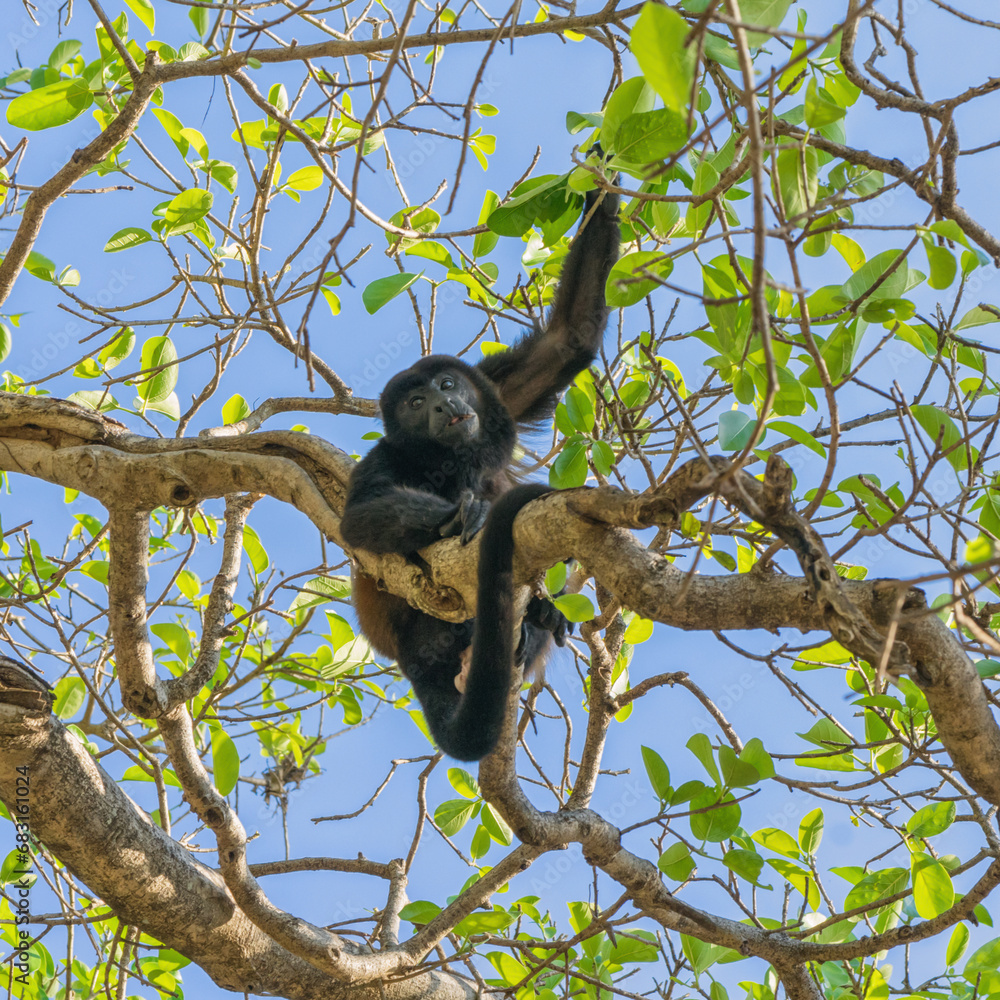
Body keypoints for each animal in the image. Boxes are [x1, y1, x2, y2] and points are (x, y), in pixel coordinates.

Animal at [339, 181, 620, 761]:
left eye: (447, 385)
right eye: (416, 403)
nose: (445, 407)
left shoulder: (498, 393)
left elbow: (569, 338)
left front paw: (598, 189)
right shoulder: (386, 455)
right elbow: (356, 518)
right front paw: (461, 514)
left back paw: (540, 620)